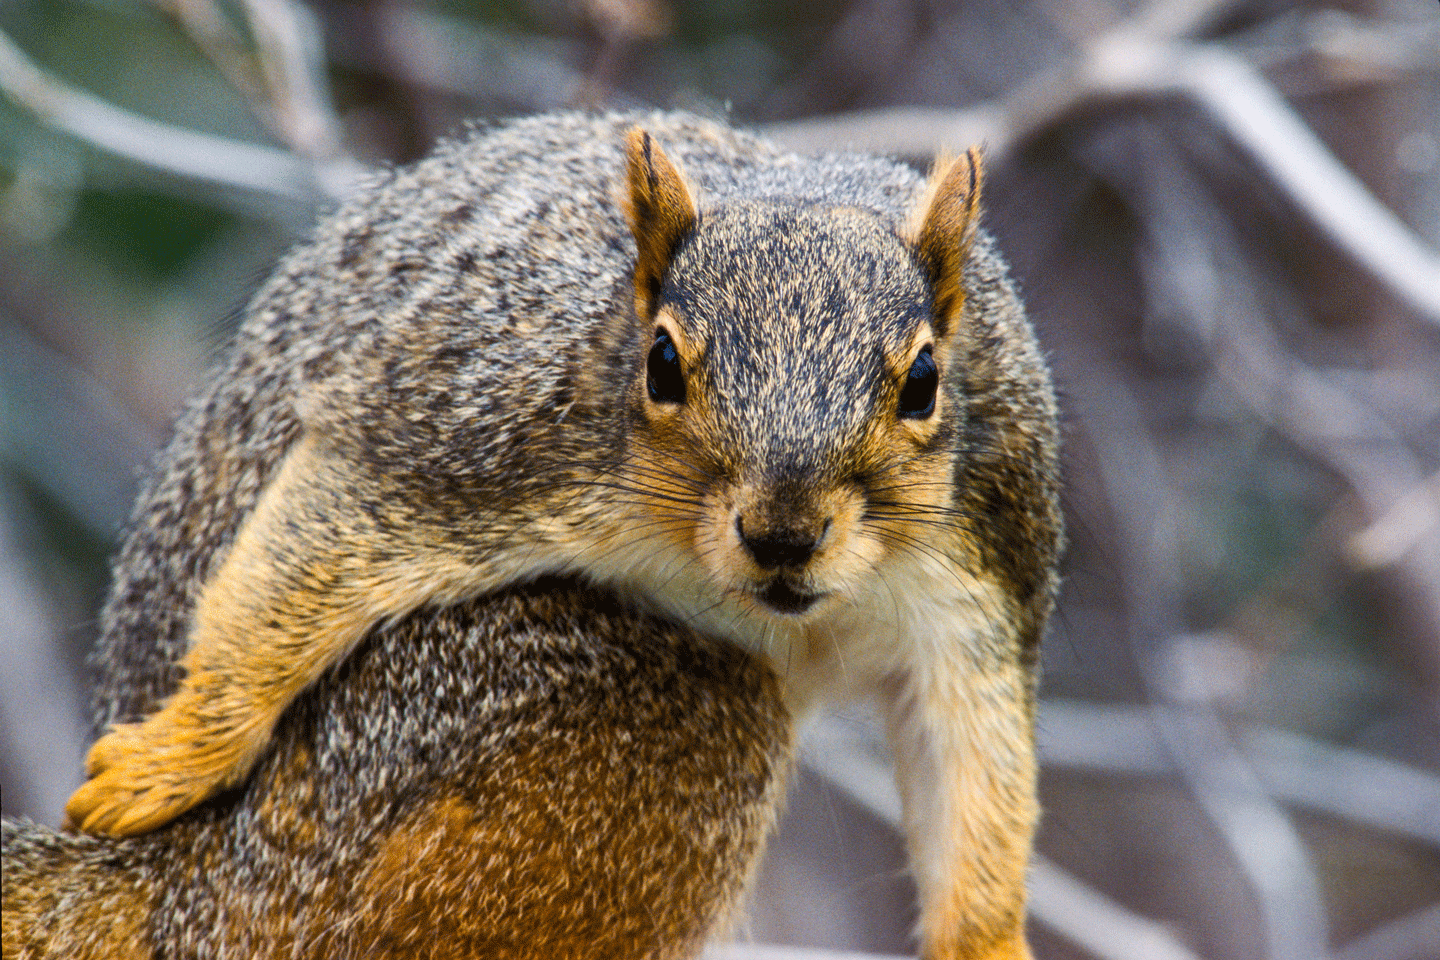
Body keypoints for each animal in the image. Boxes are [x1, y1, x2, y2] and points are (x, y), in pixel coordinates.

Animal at [2, 110, 1059, 960]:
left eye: (923, 381)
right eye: (661, 364)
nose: (783, 536)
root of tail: (189, 885)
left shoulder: (982, 571)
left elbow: (971, 763)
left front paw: (989, 941)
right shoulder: (482, 429)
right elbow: (328, 523)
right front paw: (177, 750)